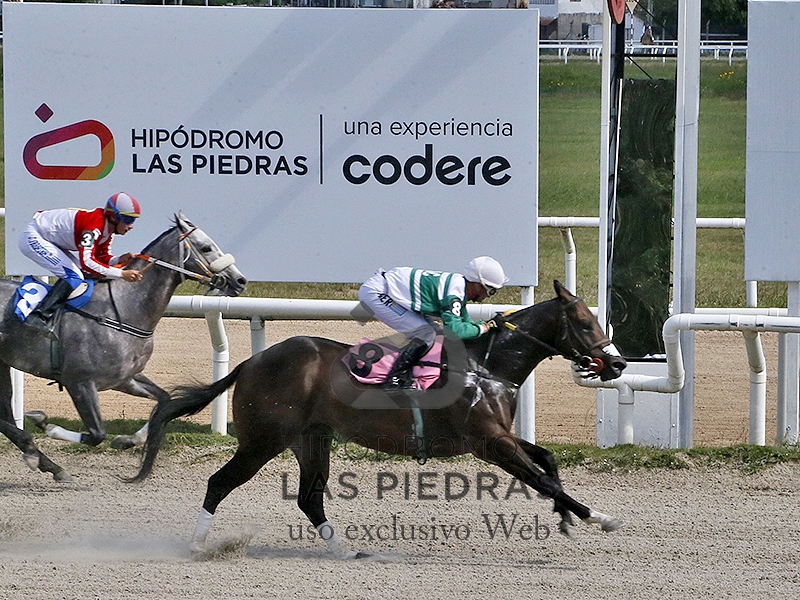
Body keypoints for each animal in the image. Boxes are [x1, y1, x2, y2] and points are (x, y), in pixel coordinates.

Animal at [0, 212, 247, 482]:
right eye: (206, 247)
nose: (240, 281)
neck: (122, 310)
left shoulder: (124, 378)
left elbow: (164, 401)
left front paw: (127, 440)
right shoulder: (79, 381)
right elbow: (97, 434)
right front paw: (47, 425)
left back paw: (42, 460)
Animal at [128, 280, 627, 557]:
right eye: (585, 323)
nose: (618, 364)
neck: (488, 366)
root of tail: (251, 363)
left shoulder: (501, 436)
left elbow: (548, 463)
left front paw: (566, 517)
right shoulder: (489, 443)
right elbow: (541, 478)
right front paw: (600, 518)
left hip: (312, 438)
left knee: (309, 498)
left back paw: (344, 550)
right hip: (263, 440)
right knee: (220, 482)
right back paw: (197, 545)